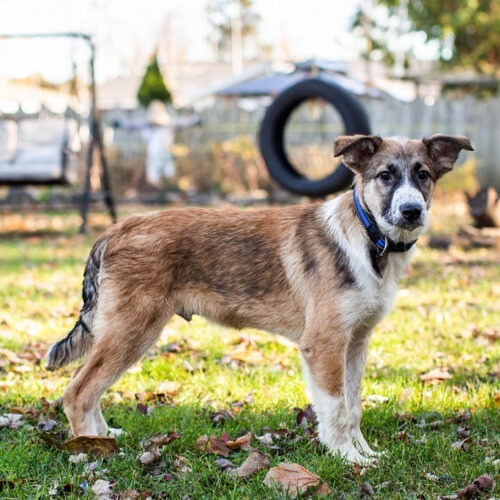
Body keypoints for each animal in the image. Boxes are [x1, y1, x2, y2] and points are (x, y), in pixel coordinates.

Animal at [46, 134, 472, 464]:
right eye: (385, 175)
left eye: (423, 175)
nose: (412, 211)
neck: (369, 239)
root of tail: (119, 227)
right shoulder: (324, 344)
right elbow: (335, 409)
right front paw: (347, 458)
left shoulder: (356, 343)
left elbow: (353, 407)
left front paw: (365, 453)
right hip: (132, 330)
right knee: (78, 391)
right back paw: (87, 450)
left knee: (91, 390)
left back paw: (104, 437)